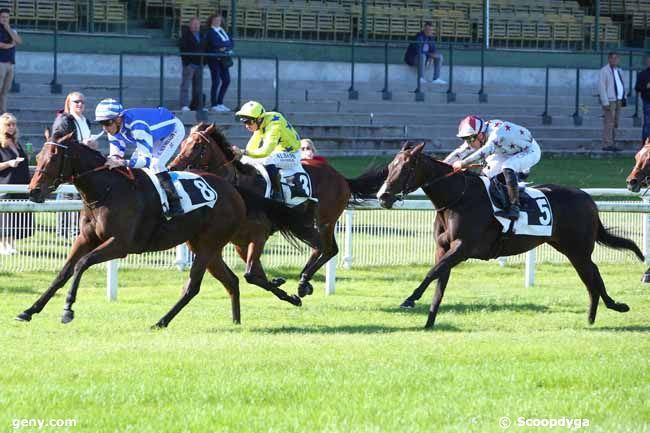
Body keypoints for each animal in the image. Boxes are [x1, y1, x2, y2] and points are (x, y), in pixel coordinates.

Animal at [15, 132, 248, 328]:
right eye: (38, 155)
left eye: (54, 158)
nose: (34, 191)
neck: (106, 189)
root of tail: (233, 190)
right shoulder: (85, 239)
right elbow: (63, 273)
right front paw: (29, 311)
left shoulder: (120, 244)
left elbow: (81, 264)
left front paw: (67, 310)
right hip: (203, 245)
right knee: (231, 280)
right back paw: (236, 321)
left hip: (209, 244)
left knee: (192, 287)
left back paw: (161, 321)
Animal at [167, 123, 384, 298]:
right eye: (183, 142)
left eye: (197, 145)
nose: (172, 166)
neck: (238, 182)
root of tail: (342, 178)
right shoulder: (240, 242)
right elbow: (256, 273)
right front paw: (277, 283)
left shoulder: (257, 234)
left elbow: (252, 273)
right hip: (311, 223)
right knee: (323, 248)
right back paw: (304, 281)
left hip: (324, 221)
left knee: (327, 249)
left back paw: (304, 281)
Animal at [378, 142, 640, 328]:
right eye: (389, 167)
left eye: (406, 167)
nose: (382, 196)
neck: (457, 197)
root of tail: (588, 199)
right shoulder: (444, 248)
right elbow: (439, 282)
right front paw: (429, 322)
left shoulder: (463, 248)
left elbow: (432, 273)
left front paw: (410, 299)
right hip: (570, 249)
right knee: (591, 275)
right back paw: (596, 314)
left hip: (578, 248)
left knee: (592, 273)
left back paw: (612, 306)